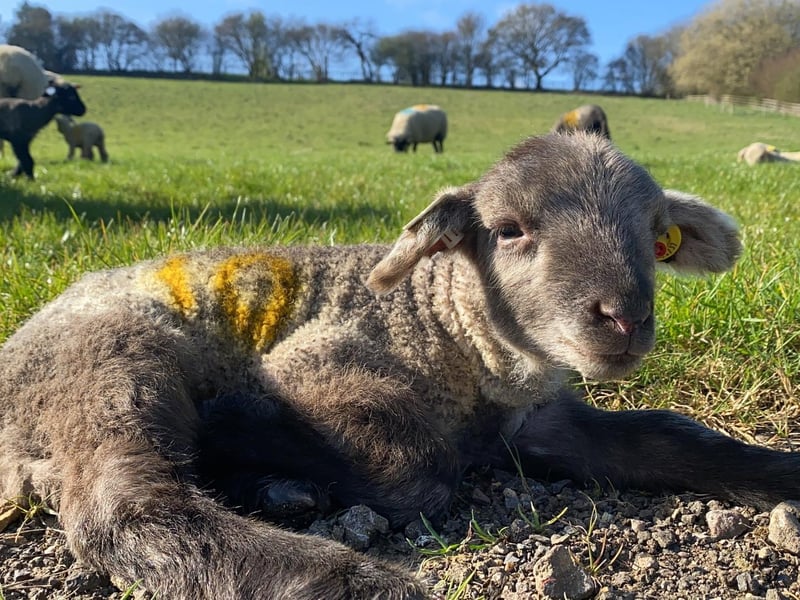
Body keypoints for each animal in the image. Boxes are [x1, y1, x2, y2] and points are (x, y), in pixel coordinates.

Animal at [1, 132, 798, 599]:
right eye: (509, 229)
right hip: (110, 365)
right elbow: (414, 466)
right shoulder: (309, 366)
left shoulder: (539, 420)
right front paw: (235, 426)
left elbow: (671, 437)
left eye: (654, 235)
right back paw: (344, 576)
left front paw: (779, 471)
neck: (447, 329)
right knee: (126, 506)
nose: (625, 318)